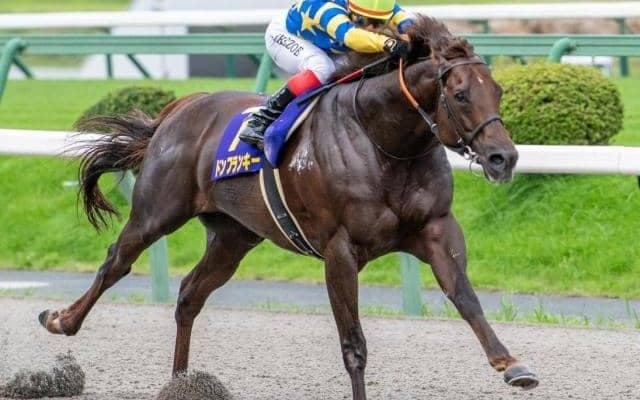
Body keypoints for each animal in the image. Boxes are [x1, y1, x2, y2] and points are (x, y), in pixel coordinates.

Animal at [38, 16, 538, 399]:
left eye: (498, 92)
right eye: (460, 94)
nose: (503, 157)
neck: (384, 141)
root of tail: (180, 109)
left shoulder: (435, 228)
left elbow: (465, 297)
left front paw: (513, 365)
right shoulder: (340, 250)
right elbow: (353, 344)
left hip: (233, 237)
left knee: (189, 295)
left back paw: (181, 382)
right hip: (155, 213)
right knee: (115, 263)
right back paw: (61, 319)